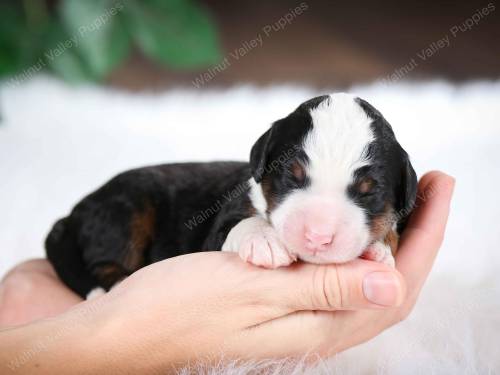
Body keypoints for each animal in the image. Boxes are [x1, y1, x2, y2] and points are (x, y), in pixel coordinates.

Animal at [47, 94, 416, 300]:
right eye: (291, 175)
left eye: (369, 192)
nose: (318, 237)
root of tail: (73, 212)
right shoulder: (219, 226)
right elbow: (238, 225)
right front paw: (265, 241)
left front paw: (378, 248)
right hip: (125, 209)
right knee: (103, 264)